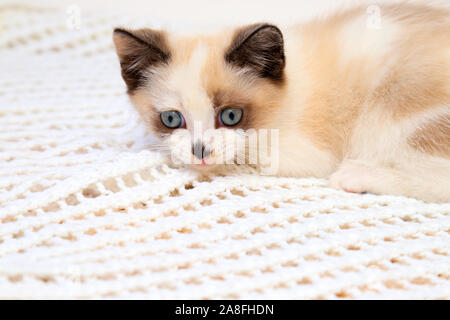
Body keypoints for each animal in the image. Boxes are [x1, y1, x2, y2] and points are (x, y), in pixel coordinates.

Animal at [113, 3, 450, 202]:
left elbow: (236, 161)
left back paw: (358, 176)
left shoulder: (307, 153)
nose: (201, 151)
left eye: (231, 116)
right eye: (171, 119)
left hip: (390, 112)